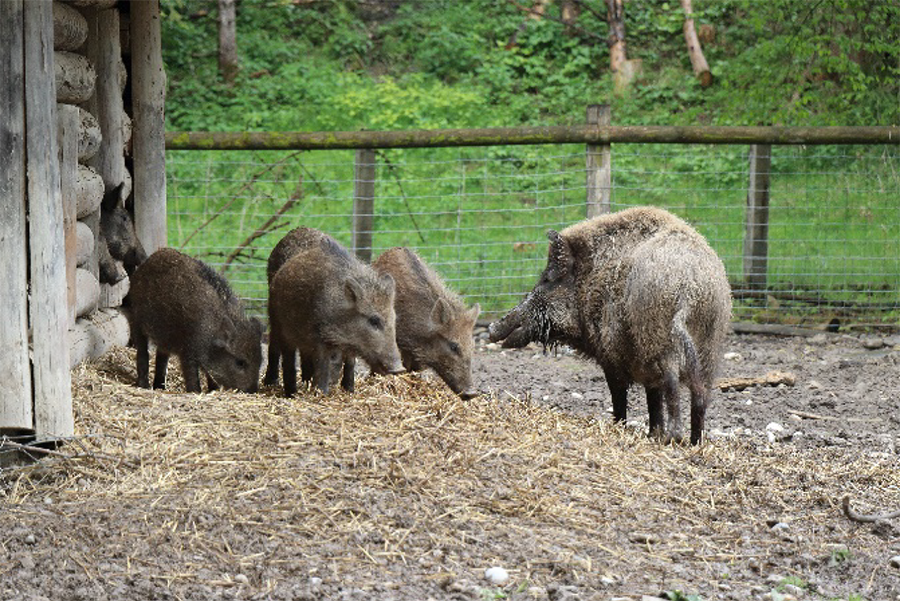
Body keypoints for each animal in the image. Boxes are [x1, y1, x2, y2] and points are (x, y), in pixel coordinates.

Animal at [126, 248, 263, 393]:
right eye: (240, 362)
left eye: (261, 361)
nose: (253, 390)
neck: (211, 331)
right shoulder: (188, 349)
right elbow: (191, 373)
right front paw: (196, 391)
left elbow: (209, 374)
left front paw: (213, 390)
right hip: (136, 320)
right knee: (143, 352)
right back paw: (144, 385)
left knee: (161, 357)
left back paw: (160, 387)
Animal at [266, 227, 404, 396]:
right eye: (374, 320)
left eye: (394, 320)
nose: (399, 369)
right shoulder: (318, 336)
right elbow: (322, 364)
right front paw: (322, 393)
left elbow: (350, 362)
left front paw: (349, 390)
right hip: (277, 322)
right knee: (282, 353)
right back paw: (283, 389)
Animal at [489, 207, 732, 445]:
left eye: (547, 279)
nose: (491, 328)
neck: (588, 284)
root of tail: (690, 287)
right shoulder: (644, 368)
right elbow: (652, 399)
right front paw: (651, 434)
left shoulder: (611, 354)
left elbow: (620, 396)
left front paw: (622, 428)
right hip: (709, 347)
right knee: (700, 395)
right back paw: (695, 442)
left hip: (660, 339)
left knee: (672, 385)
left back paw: (673, 438)